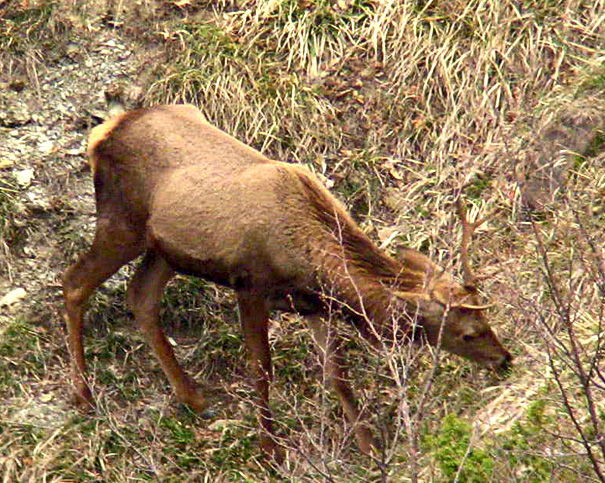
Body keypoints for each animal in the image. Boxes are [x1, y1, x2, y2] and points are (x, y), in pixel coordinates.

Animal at [62, 103, 510, 462]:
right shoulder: (250, 286)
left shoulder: (311, 306)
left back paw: (194, 398)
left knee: (140, 296)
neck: (312, 268)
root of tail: (102, 133)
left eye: (488, 321)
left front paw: (369, 449)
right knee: (74, 283)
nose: (505, 359)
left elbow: (336, 373)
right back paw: (84, 396)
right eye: (468, 333)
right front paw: (270, 451)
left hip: (164, 250)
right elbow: (262, 369)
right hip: (122, 221)